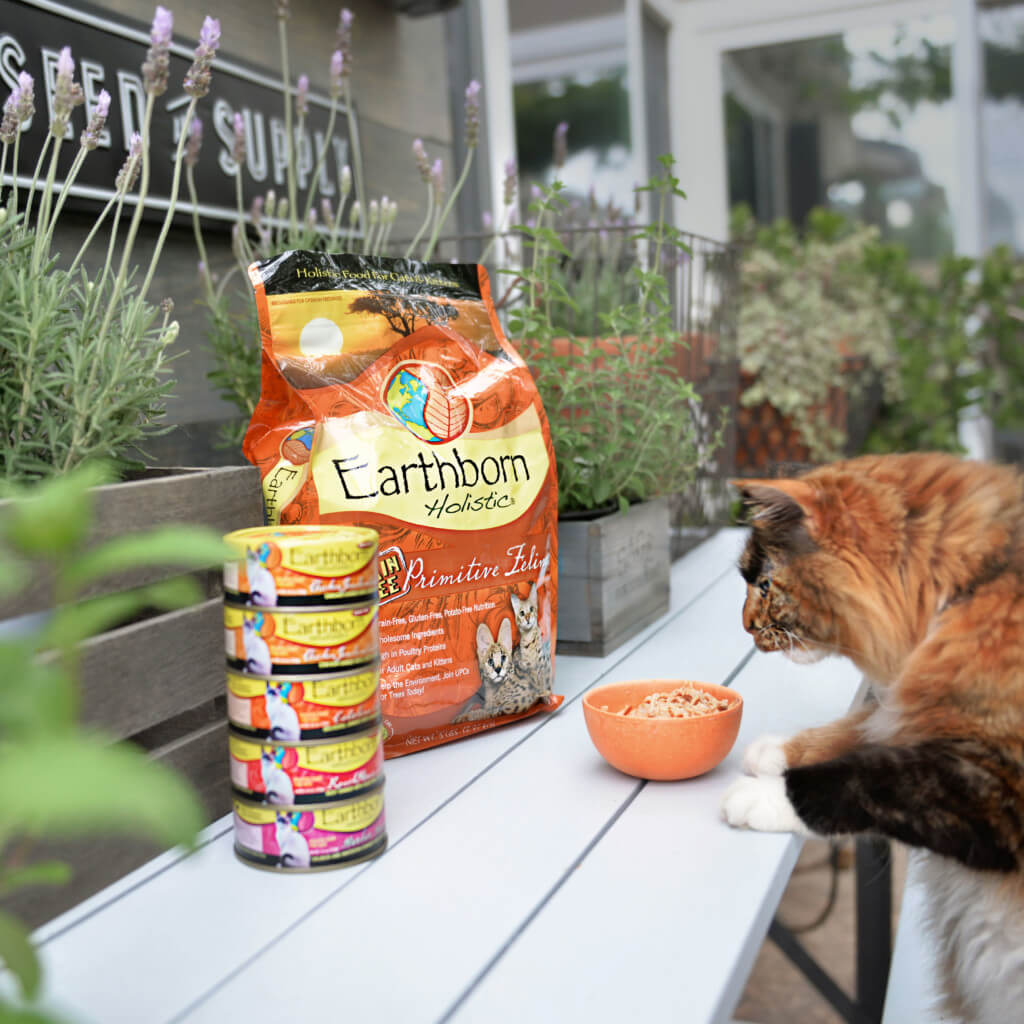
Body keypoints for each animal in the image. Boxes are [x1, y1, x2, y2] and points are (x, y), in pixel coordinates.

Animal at [720, 452, 1024, 1019]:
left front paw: (760, 796)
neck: (974, 585)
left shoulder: (991, 786)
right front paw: (776, 752)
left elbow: (860, 781)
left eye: (765, 586)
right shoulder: (912, 708)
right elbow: (862, 731)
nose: (746, 627)